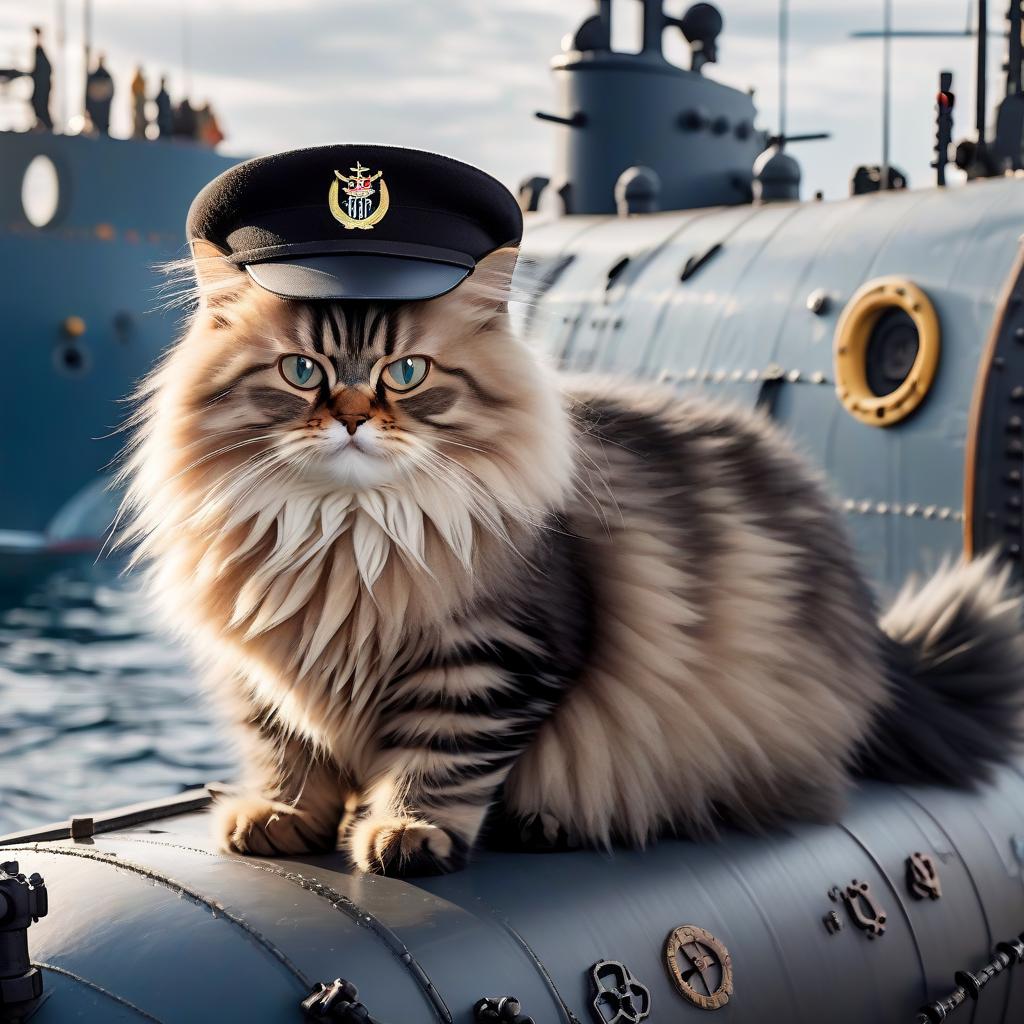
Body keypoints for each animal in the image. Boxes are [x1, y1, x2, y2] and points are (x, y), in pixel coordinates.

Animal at [125, 243, 1024, 876]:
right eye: (301, 370)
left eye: (406, 372)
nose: (350, 418)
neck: (343, 540)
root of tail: (877, 653)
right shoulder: (263, 669)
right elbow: (287, 751)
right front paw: (282, 817)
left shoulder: (497, 655)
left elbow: (442, 757)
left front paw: (405, 829)